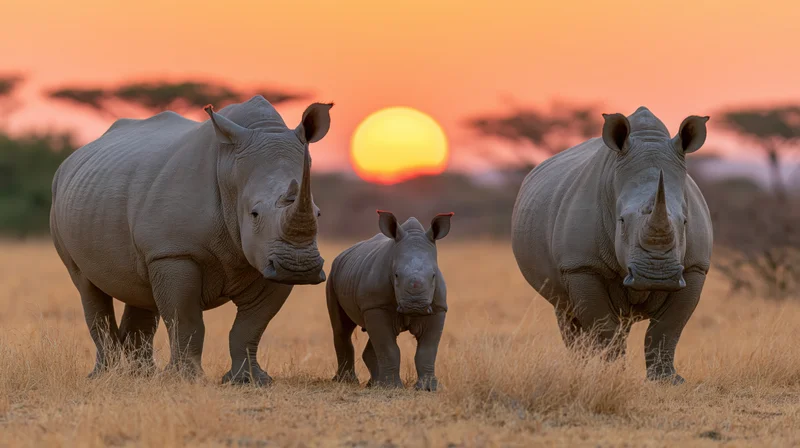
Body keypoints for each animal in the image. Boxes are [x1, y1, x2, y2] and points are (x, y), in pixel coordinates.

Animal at [49, 95, 333, 385]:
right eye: (254, 213)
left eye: (319, 213)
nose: (299, 267)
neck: (230, 174)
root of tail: (72, 159)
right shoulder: (174, 252)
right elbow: (185, 319)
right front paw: (186, 379)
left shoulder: (268, 258)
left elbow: (251, 325)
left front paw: (251, 380)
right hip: (60, 198)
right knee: (87, 285)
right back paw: (104, 377)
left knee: (140, 291)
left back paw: (142, 377)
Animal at [326, 211, 453, 390]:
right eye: (396, 275)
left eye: (434, 275)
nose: (415, 305)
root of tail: (342, 254)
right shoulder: (376, 306)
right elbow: (389, 348)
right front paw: (392, 387)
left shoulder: (438, 308)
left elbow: (427, 350)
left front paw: (429, 388)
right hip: (332, 274)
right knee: (342, 328)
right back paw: (347, 381)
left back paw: (373, 384)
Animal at [511, 107, 713, 384]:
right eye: (622, 221)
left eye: (684, 221)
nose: (657, 276)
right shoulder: (581, 266)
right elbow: (604, 327)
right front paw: (612, 378)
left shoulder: (695, 267)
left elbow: (668, 328)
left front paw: (668, 381)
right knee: (567, 313)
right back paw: (577, 371)